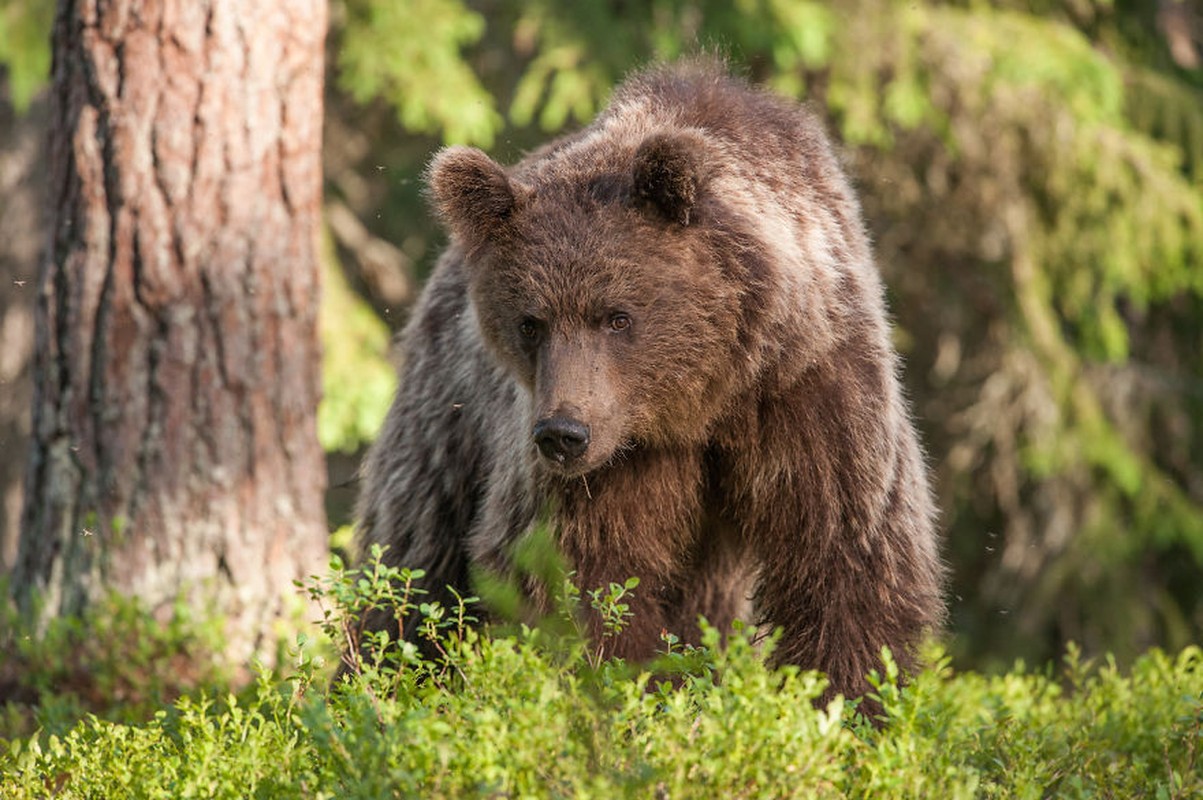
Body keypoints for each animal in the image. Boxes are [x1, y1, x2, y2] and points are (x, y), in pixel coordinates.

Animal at [351, 62, 943, 707]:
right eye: (531, 322)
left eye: (617, 316)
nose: (564, 434)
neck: (701, 401)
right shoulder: (605, 464)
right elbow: (584, 571)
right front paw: (629, 686)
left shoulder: (809, 389)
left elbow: (847, 557)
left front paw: (850, 701)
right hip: (449, 415)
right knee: (413, 560)